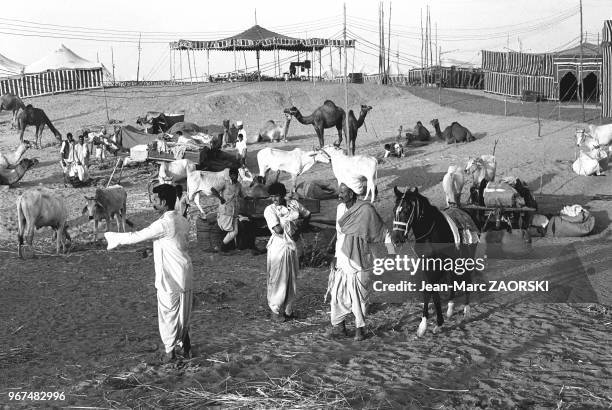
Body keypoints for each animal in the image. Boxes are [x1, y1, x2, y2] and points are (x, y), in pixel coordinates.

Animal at [392, 187, 478, 338]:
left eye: (407, 210)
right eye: (394, 210)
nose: (396, 239)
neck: (430, 235)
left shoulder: (437, 268)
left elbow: (431, 291)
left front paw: (432, 324)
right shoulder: (427, 267)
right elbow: (431, 292)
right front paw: (430, 324)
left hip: (467, 259)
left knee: (467, 280)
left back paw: (466, 310)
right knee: (453, 280)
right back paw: (450, 308)